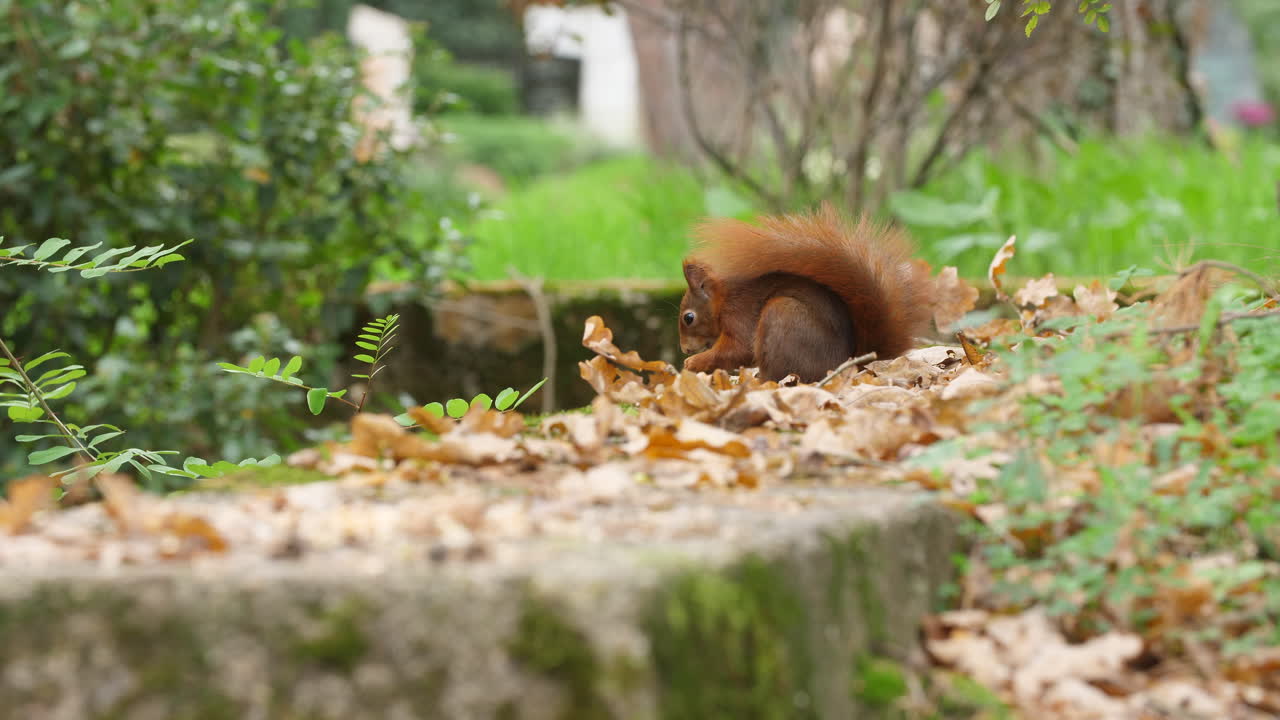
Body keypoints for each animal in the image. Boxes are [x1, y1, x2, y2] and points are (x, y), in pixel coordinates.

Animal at [678, 203, 932, 383]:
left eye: (688, 318)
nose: (684, 349)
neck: (723, 300)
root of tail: (849, 364)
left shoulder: (738, 314)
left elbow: (738, 349)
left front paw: (693, 362)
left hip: (783, 314)